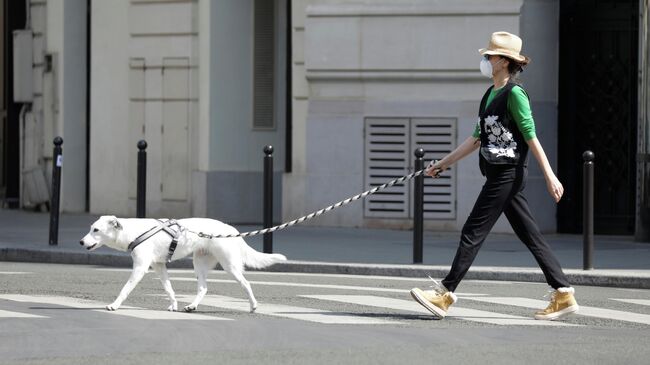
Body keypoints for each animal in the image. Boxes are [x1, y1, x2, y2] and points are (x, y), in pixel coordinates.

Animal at [79, 215, 286, 312]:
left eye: (96, 230)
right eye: (90, 229)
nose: (81, 242)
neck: (132, 232)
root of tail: (231, 229)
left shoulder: (140, 267)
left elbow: (125, 289)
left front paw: (114, 305)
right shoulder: (159, 266)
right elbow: (169, 289)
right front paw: (174, 305)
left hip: (230, 265)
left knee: (246, 283)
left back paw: (253, 306)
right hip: (199, 263)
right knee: (203, 288)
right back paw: (192, 306)